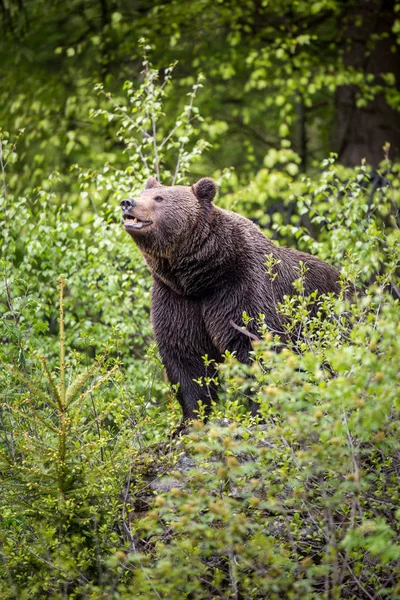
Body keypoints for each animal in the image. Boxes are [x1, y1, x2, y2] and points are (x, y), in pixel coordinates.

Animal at [120, 176, 342, 424]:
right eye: (142, 193)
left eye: (159, 198)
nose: (127, 202)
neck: (202, 275)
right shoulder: (176, 297)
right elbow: (186, 356)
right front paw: (190, 420)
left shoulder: (242, 287)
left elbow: (257, 343)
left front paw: (260, 414)